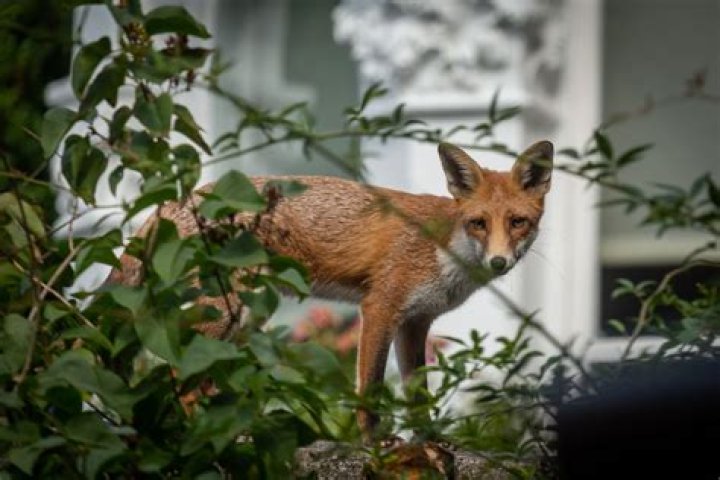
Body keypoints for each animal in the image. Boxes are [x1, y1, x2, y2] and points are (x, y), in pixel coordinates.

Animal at [108, 140, 553, 441]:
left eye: (518, 222)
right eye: (479, 223)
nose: (499, 262)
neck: (444, 249)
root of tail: (172, 204)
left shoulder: (415, 323)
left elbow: (418, 400)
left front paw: (431, 445)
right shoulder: (380, 308)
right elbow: (370, 392)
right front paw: (376, 447)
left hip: (245, 318)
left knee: (204, 384)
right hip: (223, 314)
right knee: (179, 378)